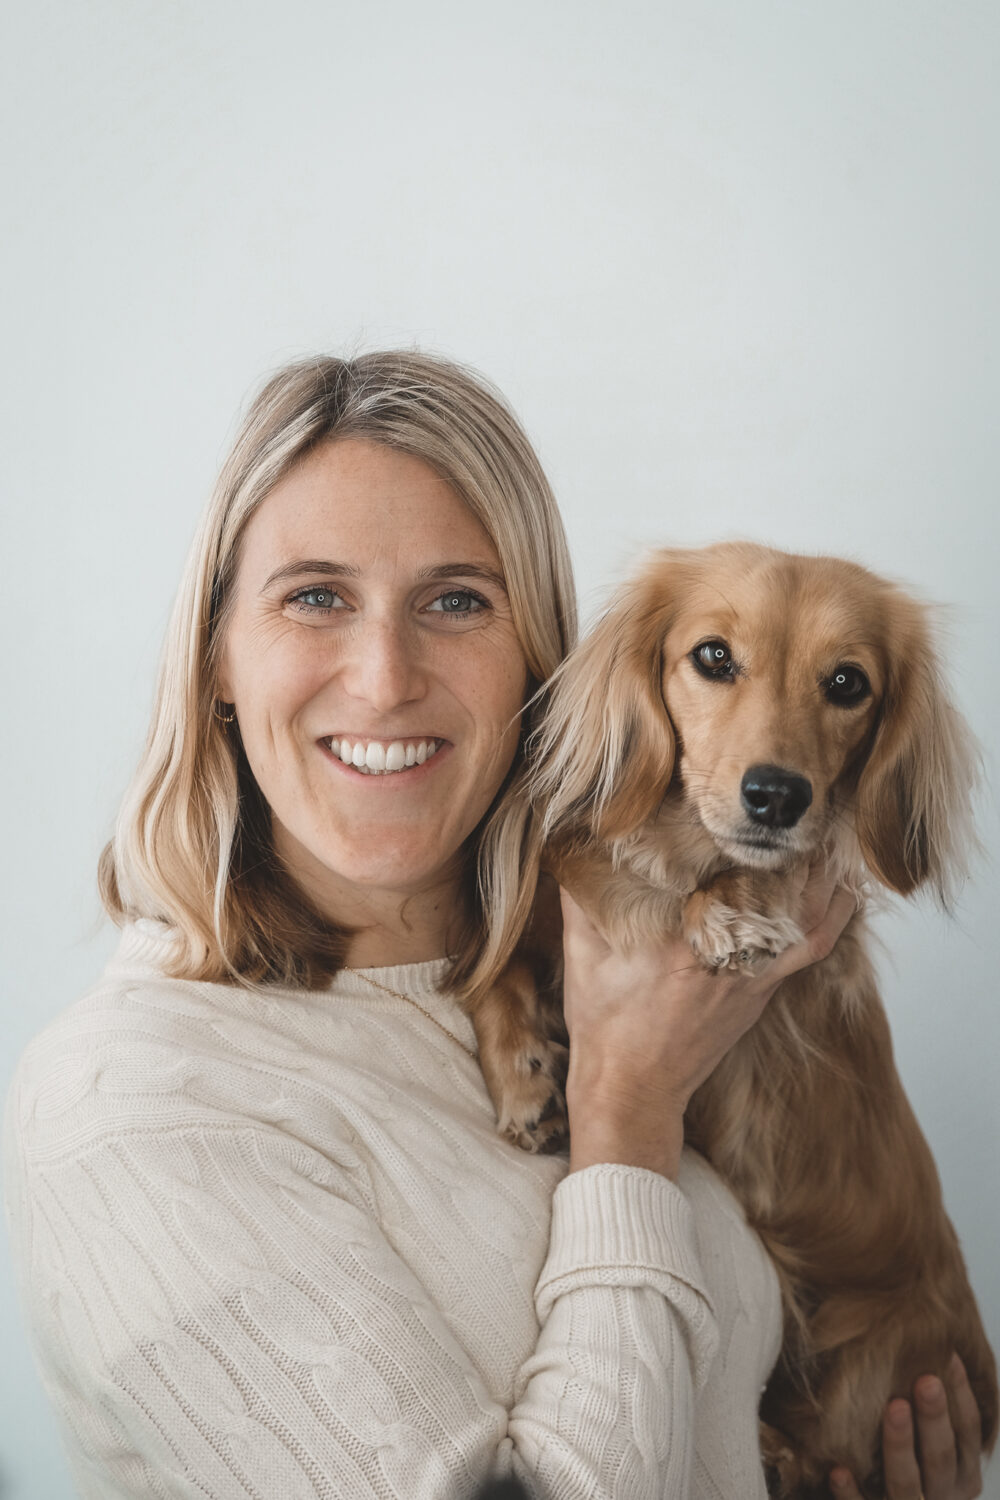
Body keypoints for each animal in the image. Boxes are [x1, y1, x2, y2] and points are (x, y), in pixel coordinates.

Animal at [463, 542, 998, 1497]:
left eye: (849, 682)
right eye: (713, 656)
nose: (776, 795)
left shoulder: (814, 937)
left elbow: (764, 880)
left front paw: (732, 910)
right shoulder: (561, 923)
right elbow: (497, 968)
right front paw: (526, 1079)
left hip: (871, 1370)